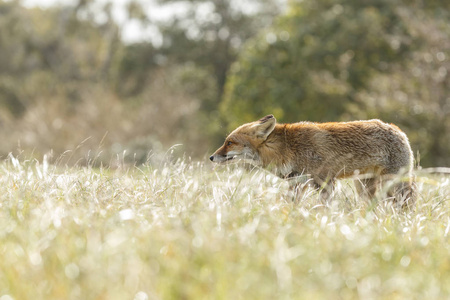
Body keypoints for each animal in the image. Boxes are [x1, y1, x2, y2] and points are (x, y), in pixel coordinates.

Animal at [211, 114, 414, 206]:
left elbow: (323, 207)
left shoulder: (325, 182)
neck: (287, 148)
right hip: (364, 187)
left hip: (394, 184)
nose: (212, 157)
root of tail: (397, 129)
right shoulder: (297, 183)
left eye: (230, 143)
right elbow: (291, 205)